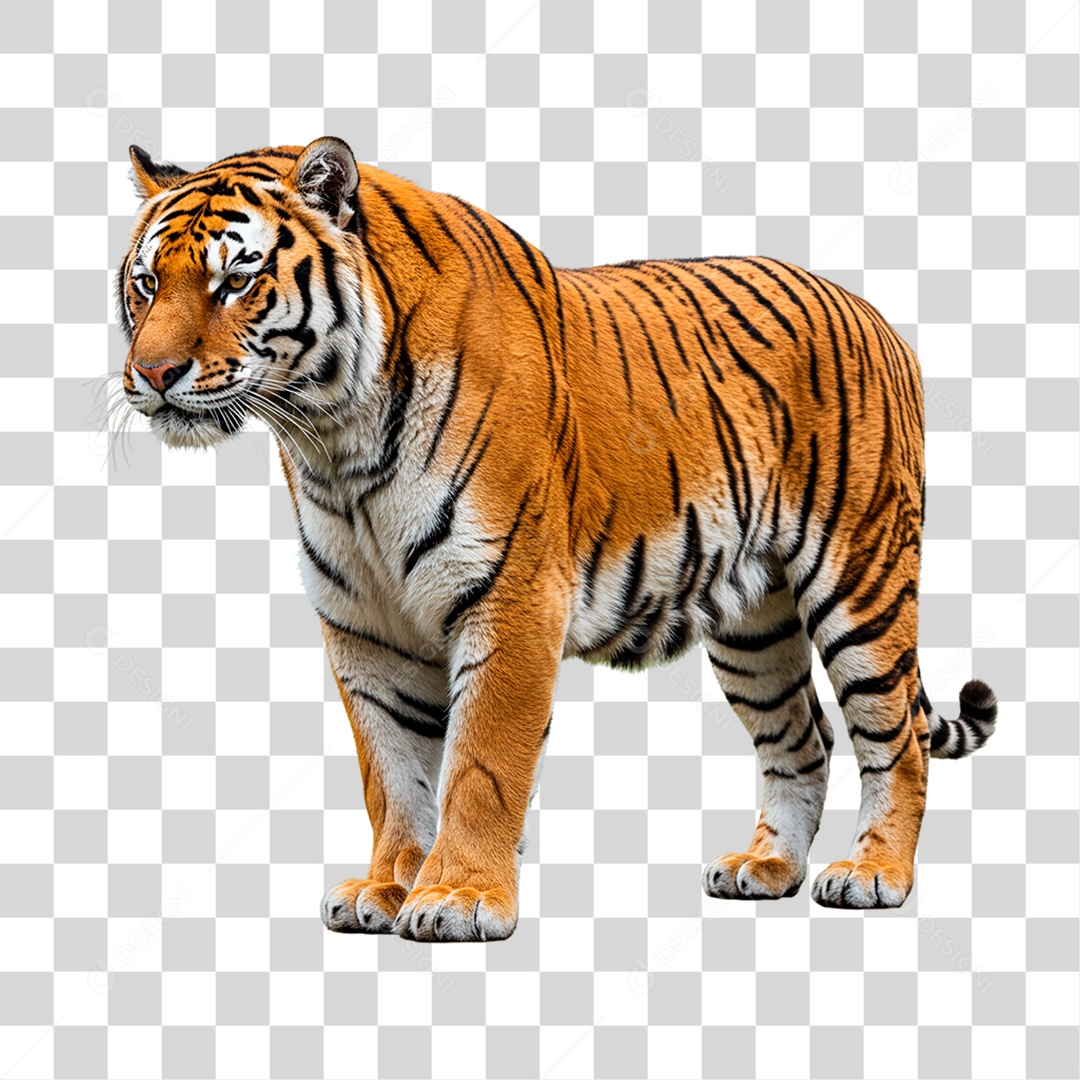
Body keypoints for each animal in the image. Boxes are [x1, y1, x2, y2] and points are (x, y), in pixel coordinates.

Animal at [117, 137, 998, 941]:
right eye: (147, 283)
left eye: (236, 281)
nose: (152, 374)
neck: (335, 440)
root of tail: (875, 316)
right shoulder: (365, 626)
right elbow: (391, 772)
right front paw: (388, 887)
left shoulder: (509, 597)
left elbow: (481, 764)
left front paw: (459, 897)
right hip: (755, 625)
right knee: (802, 738)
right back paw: (766, 866)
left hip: (861, 580)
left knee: (897, 737)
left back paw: (875, 874)